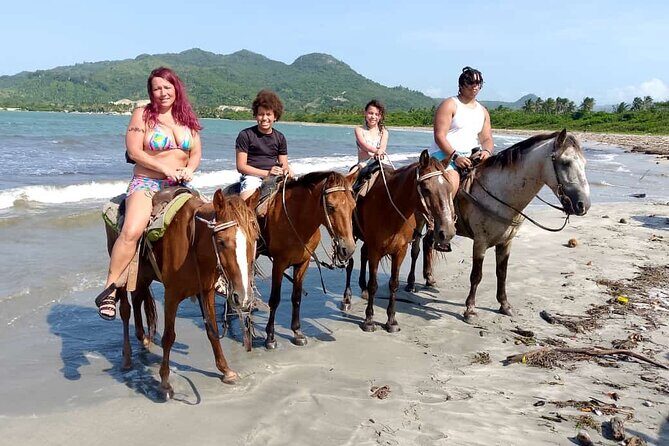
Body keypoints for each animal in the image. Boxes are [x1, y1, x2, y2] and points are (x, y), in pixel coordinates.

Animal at [105, 189, 259, 398]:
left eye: (254, 238)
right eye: (221, 242)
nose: (242, 297)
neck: (194, 243)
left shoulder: (206, 292)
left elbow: (212, 330)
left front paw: (226, 370)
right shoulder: (171, 295)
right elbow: (169, 337)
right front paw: (164, 383)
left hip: (141, 276)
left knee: (137, 300)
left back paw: (143, 339)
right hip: (123, 273)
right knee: (125, 310)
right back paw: (127, 357)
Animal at [249, 171, 356, 349]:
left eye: (353, 206)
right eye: (330, 207)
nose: (348, 249)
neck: (297, 220)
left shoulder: (303, 263)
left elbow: (296, 297)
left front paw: (297, 332)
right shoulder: (279, 264)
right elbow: (275, 299)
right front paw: (270, 337)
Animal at [341, 150, 457, 332]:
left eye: (450, 188)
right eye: (426, 189)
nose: (448, 231)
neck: (389, 207)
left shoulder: (400, 251)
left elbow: (394, 283)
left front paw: (391, 320)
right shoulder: (375, 250)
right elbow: (374, 284)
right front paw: (369, 320)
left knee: (362, 254)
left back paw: (363, 288)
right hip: (350, 235)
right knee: (350, 263)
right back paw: (347, 298)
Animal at [405, 129, 591, 321]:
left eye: (584, 163)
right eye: (565, 163)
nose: (583, 205)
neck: (500, 193)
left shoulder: (506, 242)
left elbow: (502, 273)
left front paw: (504, 305)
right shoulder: (480, 242)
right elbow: (476, 275)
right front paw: (470, 309)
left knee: (428, 243)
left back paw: (429, 278)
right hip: (420, 219)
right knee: (416, 248)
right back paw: (411, 283)